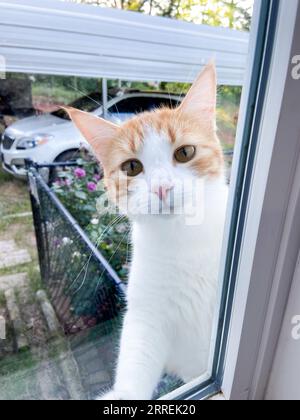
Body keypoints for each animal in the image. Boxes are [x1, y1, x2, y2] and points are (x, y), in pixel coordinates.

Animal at [65, 62, 227, 400]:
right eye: (131, 167)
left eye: (185, 152)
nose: (162, 187)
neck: (184, 240)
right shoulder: (146, 314)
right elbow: (137, 356)